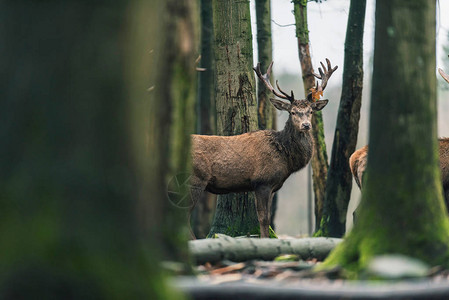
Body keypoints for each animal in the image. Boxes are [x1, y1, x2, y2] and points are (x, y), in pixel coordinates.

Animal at [189, 58, 336, 237]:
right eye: (293, 112)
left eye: (310, 111)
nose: (306, 125)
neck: (285, 158)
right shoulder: (262, 182)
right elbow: (264, 218)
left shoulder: (272, 186)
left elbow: (267, 218)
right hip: (195, 180)